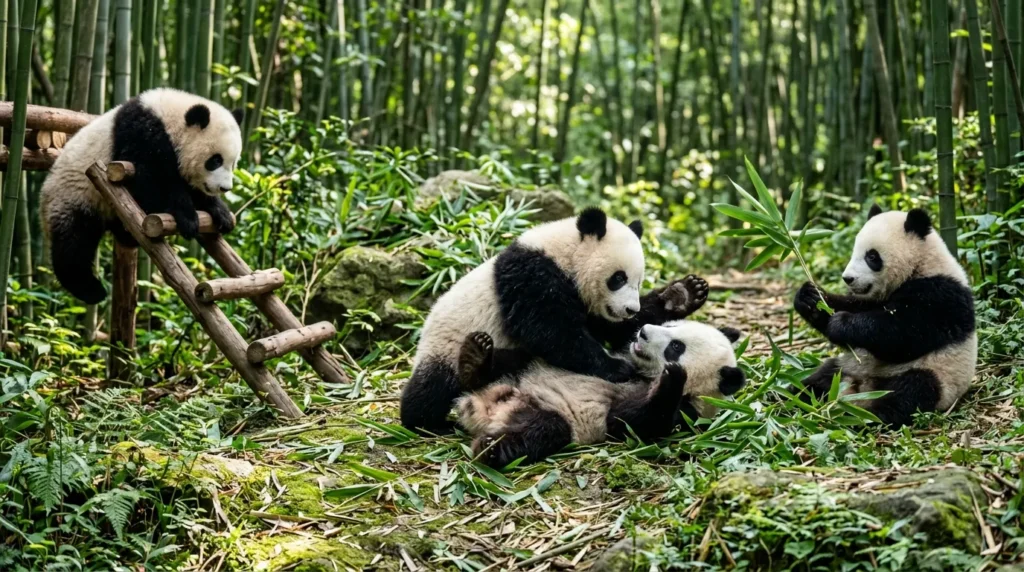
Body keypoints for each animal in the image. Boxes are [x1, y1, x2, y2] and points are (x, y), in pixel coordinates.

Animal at [41, 88, 243, 304]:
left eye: (233, 163)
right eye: (215, 160)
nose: (225, 188)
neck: (168, 119)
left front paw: (221, 213)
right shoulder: (141, 134)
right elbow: (150, 179)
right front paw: (187, 218)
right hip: (72, 197)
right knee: (73, 245)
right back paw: (91, 290)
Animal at [400, 207, 711, 434]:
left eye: (639, 281)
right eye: (618, 278)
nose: (629, 309)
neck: (563, 253)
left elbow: (610, 328)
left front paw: (684, 294)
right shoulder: (532, 275)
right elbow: (551, 331)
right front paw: (617, 367)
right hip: (445, 345)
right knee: (433, 387)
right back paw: (425, 420)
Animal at [455, 320, 746, 467]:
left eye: (676, 347)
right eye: (673, 325)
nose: (643, 331)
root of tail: (482, 409)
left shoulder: (688, 413)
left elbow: (628, 422)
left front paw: (673, 377)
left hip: (546, 414)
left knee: (544, 429)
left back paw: (491, 449)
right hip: (524, 370)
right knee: (511, 361)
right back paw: (475, 357)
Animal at [793, 205, 977, 427]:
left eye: (872, 257)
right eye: (854, 252)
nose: (848, 278)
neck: (921, 264)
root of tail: (862, 389)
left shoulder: (941, 296)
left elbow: (902, 335)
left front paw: (841, 324)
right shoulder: (872, 299)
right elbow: (855, 307)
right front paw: (810, 298)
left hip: (937, 375)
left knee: (911, 391)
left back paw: (868, 417)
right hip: (848, 367)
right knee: (822, 376)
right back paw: (791, 395)